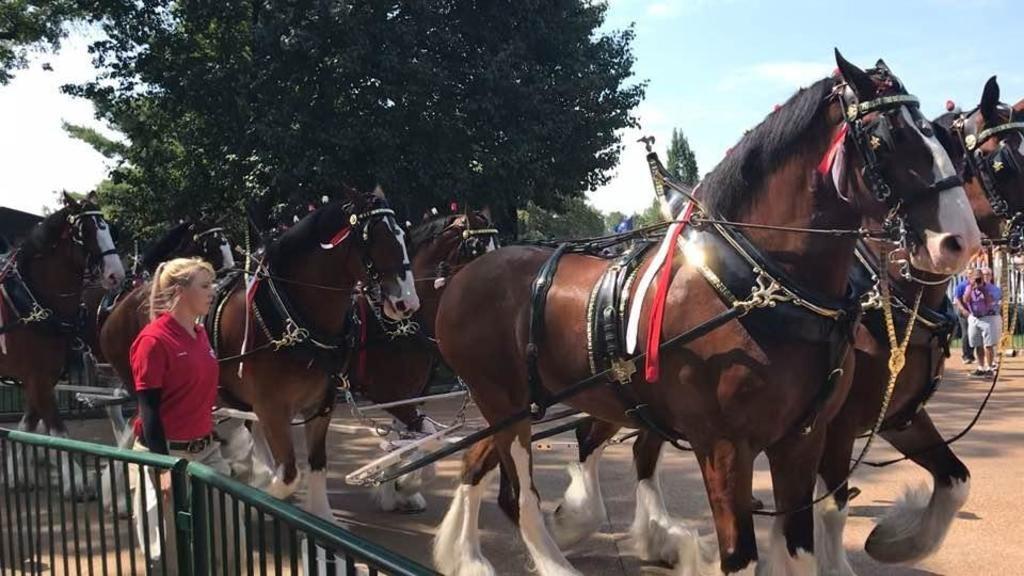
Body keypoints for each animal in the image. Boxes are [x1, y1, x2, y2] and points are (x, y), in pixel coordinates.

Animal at [0, 191, 125, 494]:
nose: (116, 274)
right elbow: (57, 430)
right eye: (85, 231)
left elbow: (28, 425)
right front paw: (78, 481)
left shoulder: (42, 377)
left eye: (109, 228)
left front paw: (12, 475)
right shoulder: (37, 378)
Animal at [428, 53, 978, 573]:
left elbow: (802, 546)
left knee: (481, 464)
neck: (755, 287)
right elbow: (744, 554)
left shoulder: (805, 440)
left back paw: (467, 555)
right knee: (520, 495)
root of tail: (467, 274)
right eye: (884, 140)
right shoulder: (726, 448)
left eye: (937, 138)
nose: (961, 241)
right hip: (505, 404)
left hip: (527, 405)